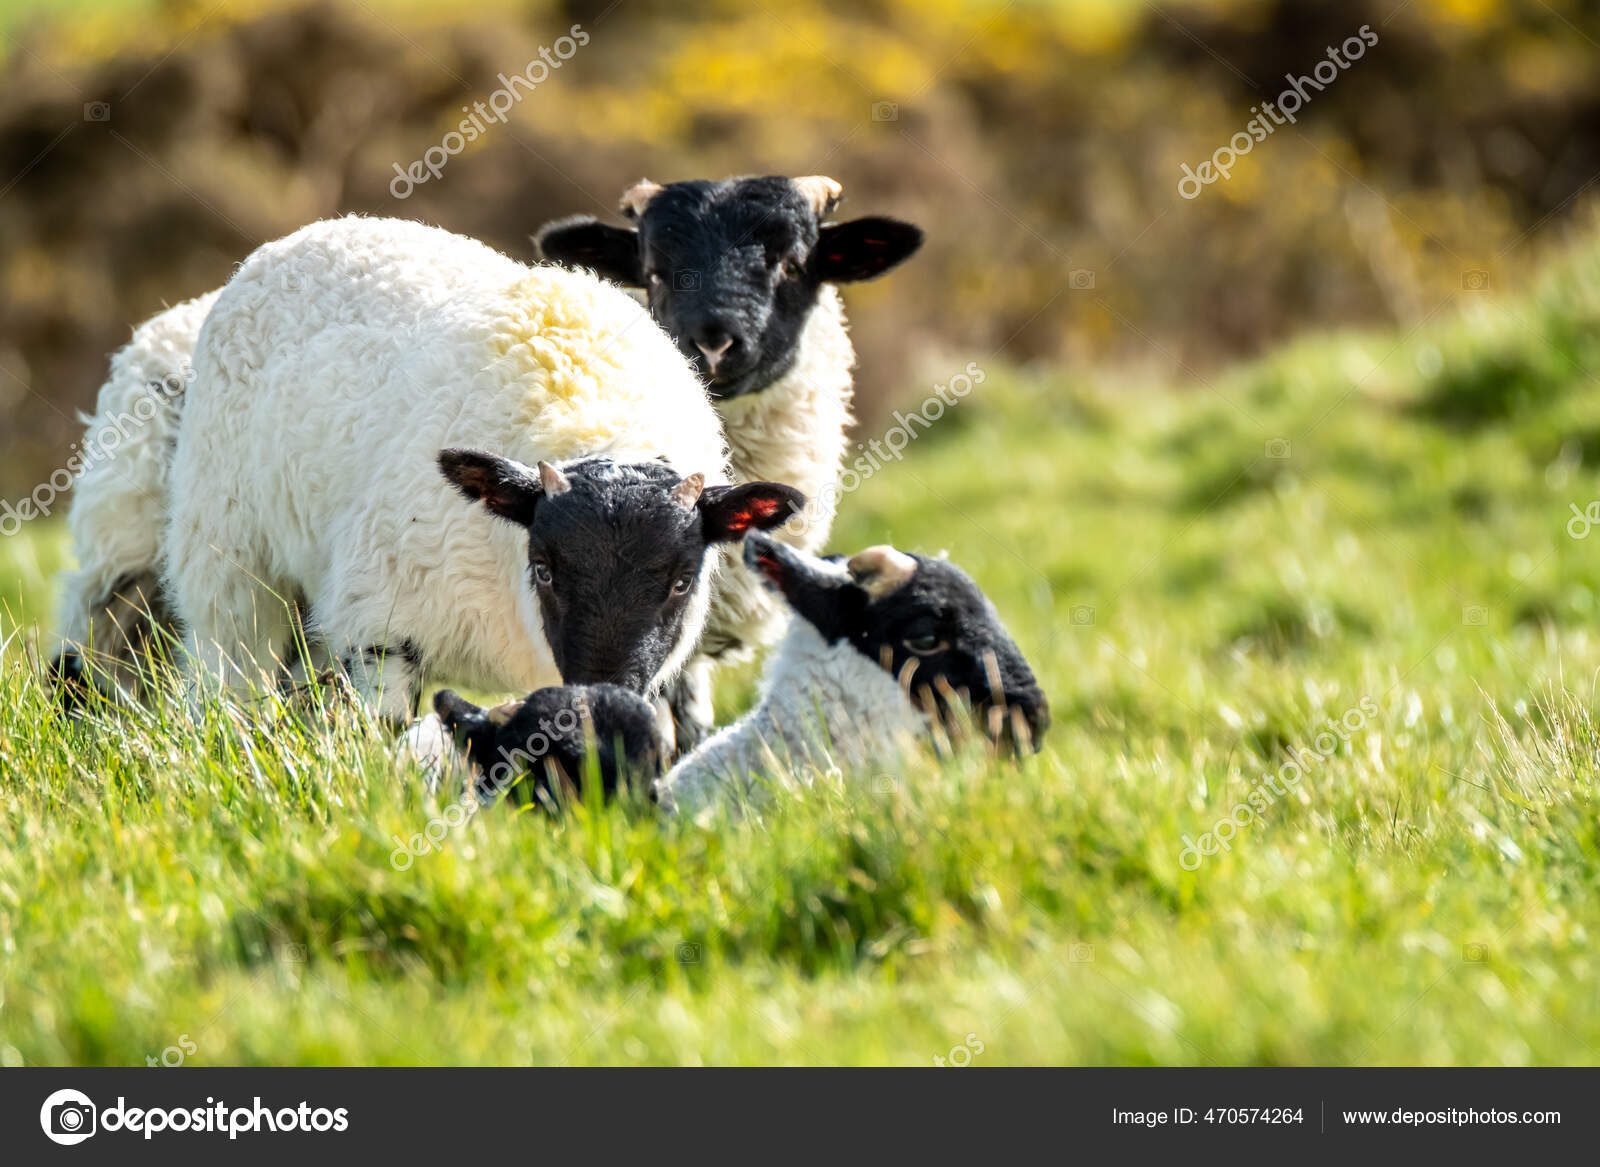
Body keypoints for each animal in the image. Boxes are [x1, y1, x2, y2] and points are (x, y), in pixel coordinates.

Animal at [162, 215, 803, 722]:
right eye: (544, 571)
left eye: (681, 582)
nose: (602, 698)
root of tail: (315, 231)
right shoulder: (380, 621)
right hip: (229, 558)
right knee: (227, 671)